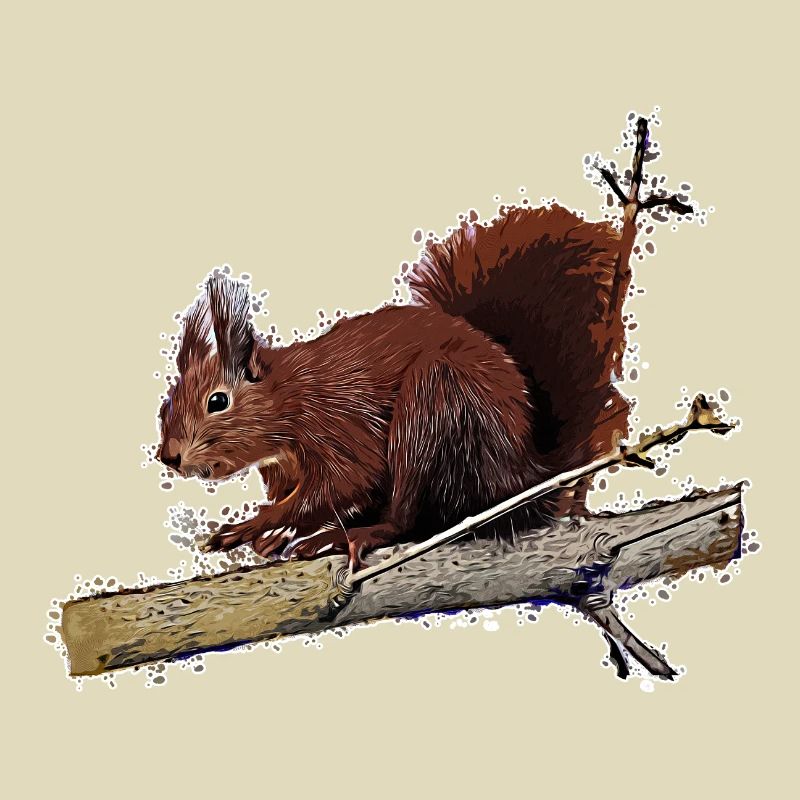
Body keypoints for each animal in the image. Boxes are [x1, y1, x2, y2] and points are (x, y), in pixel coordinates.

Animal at [157, 200, 633, 570]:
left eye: (218, 401)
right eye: (167, 405)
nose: (169, 457)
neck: (289, 397)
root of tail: (524, 475)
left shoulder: (336, 425)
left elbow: (344, 482)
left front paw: (251, 525)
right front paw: (272, 533)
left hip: (436, 405)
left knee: (408, 518)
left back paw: (355, 535)